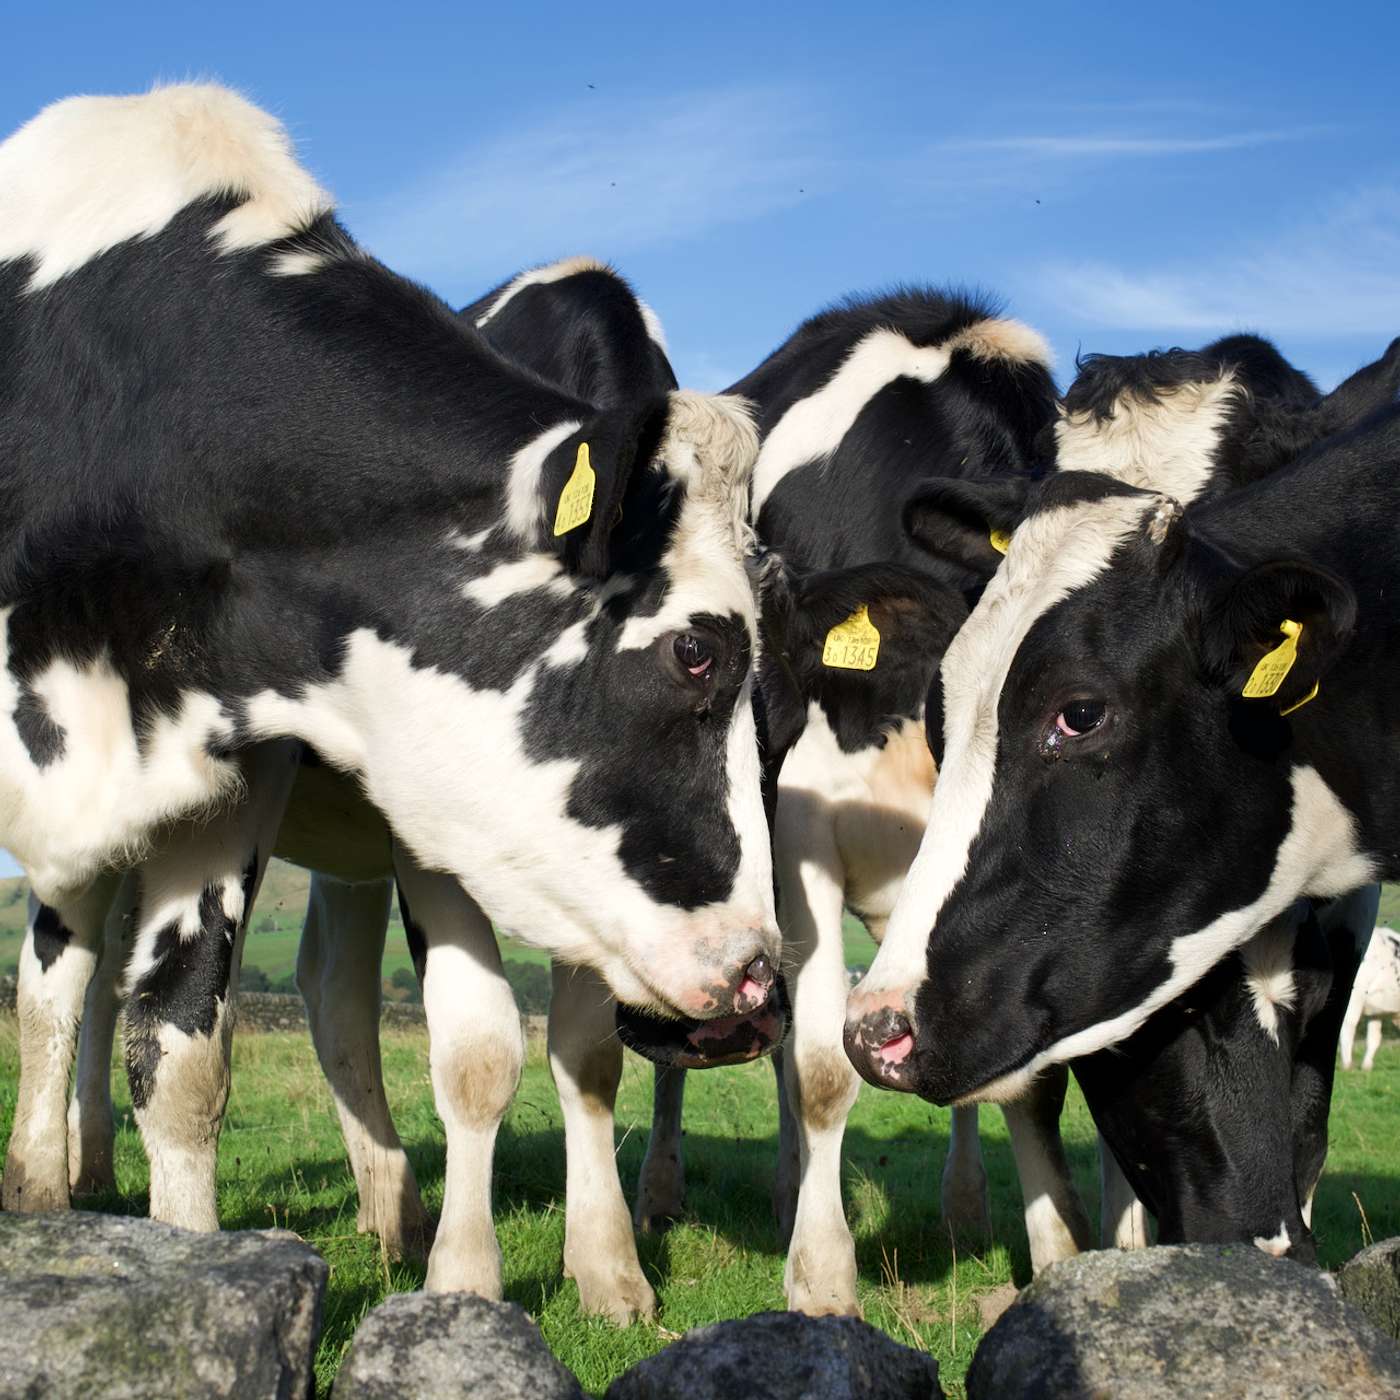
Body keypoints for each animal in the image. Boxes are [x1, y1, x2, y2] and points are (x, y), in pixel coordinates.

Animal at [0, 84, 778, 1308]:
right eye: (698, 652)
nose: (758, 978)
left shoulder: (242, 779)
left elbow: (184, 1042)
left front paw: (604, 1269)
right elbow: (474, 1048)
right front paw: (469, 1277)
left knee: (318, 988)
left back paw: (384, 1203)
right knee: (66, 982)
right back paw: (58, 1174)